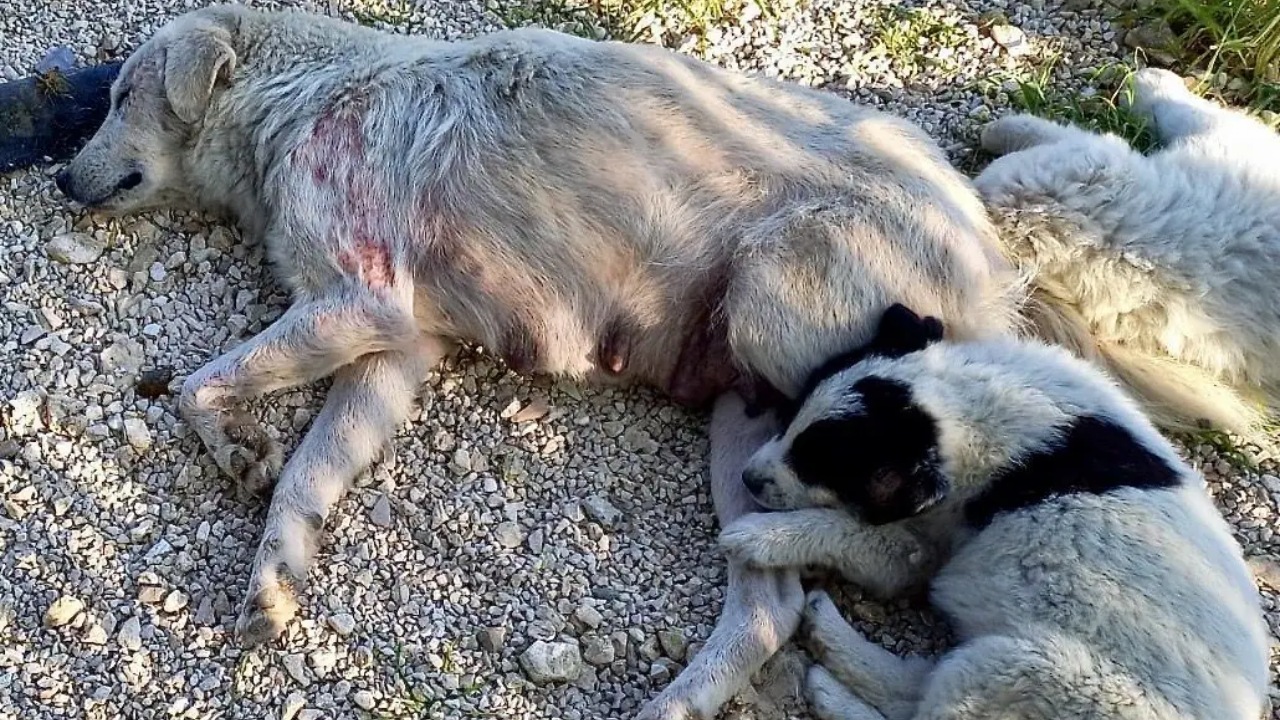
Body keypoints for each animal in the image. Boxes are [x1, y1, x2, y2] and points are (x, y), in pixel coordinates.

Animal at [721, 303, 1269, 717]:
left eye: (819, 466)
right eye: (790, 416)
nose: (747, 477)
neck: (969, 400)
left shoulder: (915, 551)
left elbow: (843, 529)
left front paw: (760, 537)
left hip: (1021, 665)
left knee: (920, 706)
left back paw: (833, 680)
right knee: (916, 685)